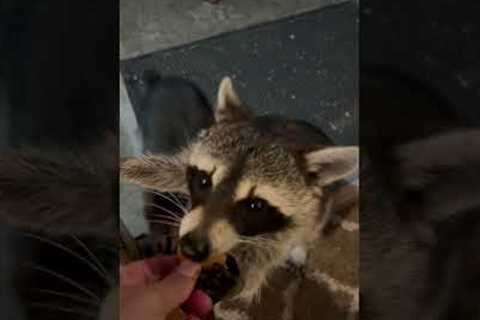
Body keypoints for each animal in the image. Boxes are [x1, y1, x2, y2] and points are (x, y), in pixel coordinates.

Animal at [122, 76, 358, 302]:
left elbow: (267, 253)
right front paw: (139, 168)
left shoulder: (296, 217)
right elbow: (177, 165)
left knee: (311, 228)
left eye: (255, 205)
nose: (191, 248)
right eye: (204, 181)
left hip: (321, 205)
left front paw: (242, 277)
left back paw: (300, 247)